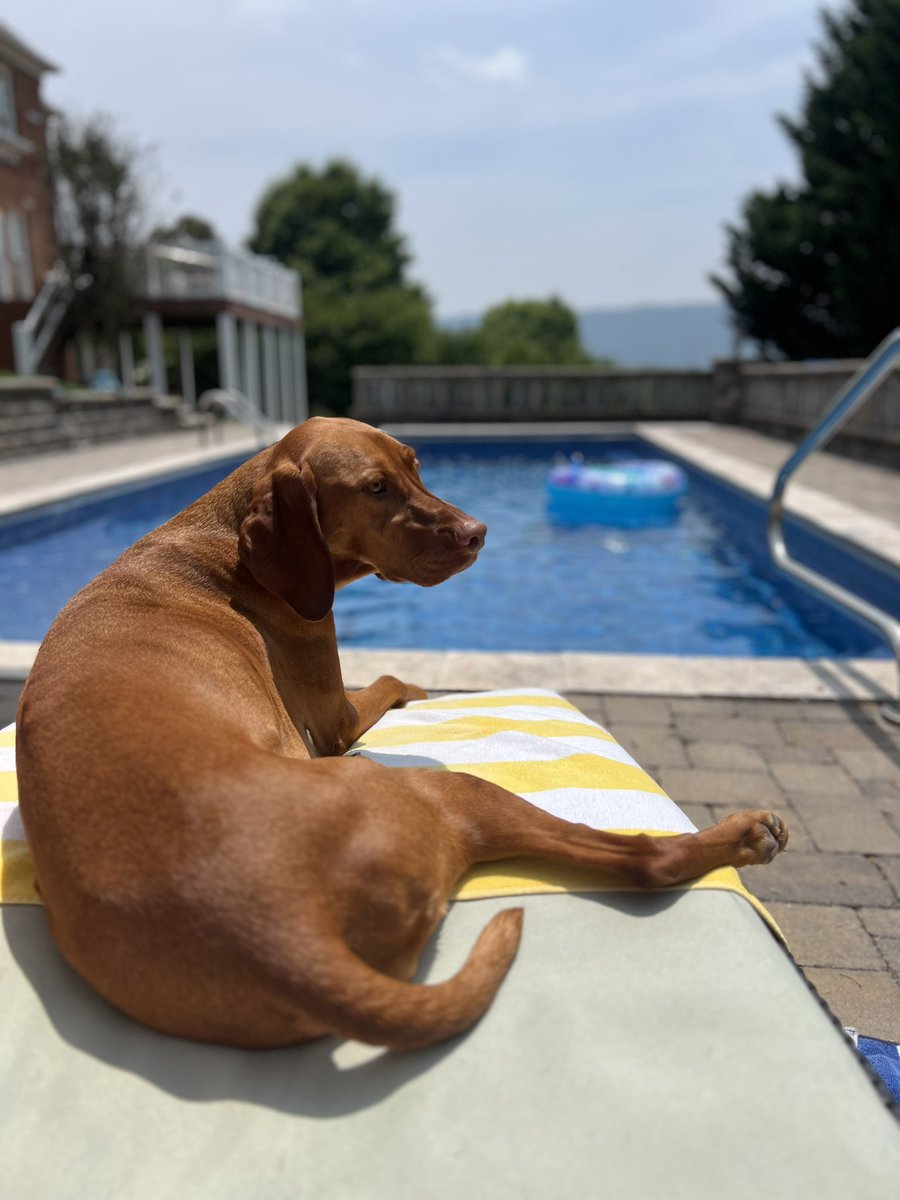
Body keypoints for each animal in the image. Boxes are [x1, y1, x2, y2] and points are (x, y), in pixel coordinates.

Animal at [15, 420, 787, 1051]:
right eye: (375, 489)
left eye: (415, 466)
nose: (477, 532)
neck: (223, 531)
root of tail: (285, 939)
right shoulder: (333, 720)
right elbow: (387, 679)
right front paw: (418, 688)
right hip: (446, 791)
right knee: (642, 860)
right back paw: (743, 836)